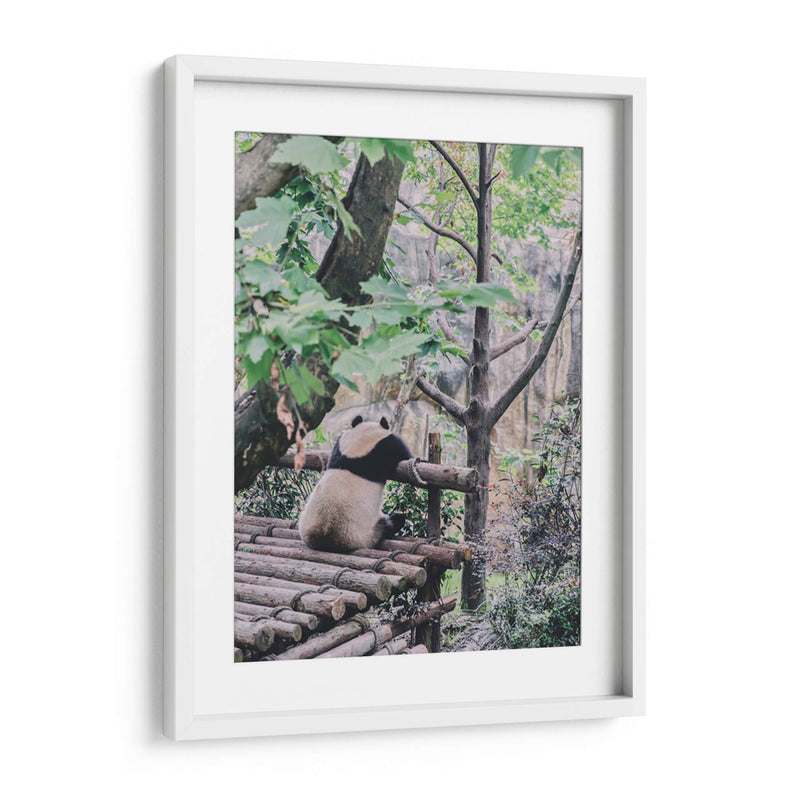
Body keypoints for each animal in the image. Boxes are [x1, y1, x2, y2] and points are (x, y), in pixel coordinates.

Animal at [298, 415, 412, 553]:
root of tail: (324, 539)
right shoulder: (387, 446)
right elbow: (404, 453)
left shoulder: (339, 446)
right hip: (365, 533)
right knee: (389, 524)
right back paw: (396, 521)